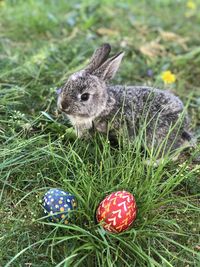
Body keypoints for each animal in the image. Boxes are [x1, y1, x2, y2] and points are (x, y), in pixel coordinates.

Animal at [57, 43, 193, 160]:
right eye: (66, 86)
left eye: (85, 96)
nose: (63, 106)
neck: (104, 106)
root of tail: (183, 125)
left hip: (156, 136)